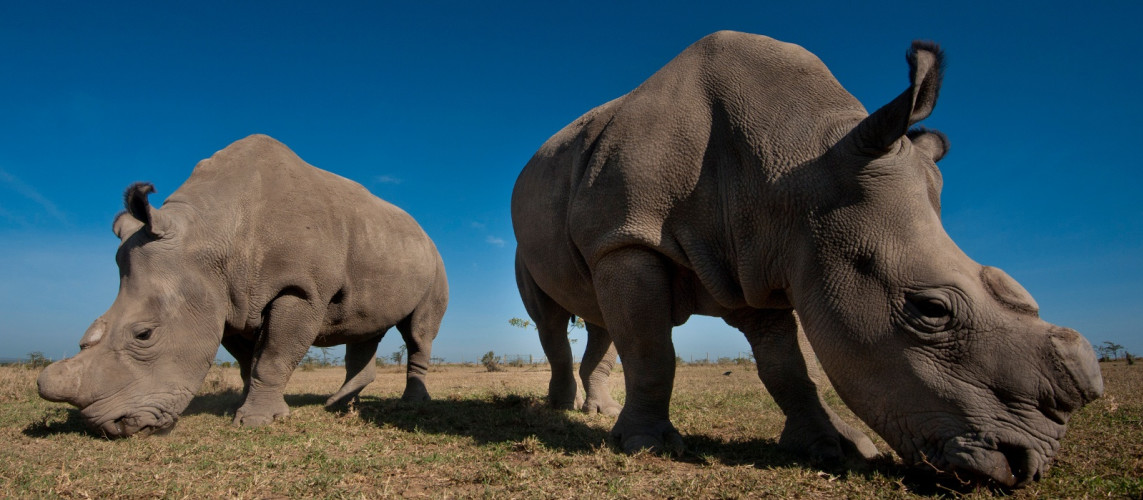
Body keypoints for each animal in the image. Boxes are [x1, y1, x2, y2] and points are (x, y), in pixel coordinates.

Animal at [38, 134, 449, 437]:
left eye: (144, 335)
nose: (110, 427)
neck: (210, 234)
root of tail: (422, 231)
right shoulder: (226, 301)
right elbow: (247, 362)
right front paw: (249, 408)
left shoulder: (300, 289)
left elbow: (273, 357)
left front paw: (256, 422)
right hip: (381, 245)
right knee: (364, 329)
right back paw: (340, 406)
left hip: (434, 261)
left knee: (417, 332)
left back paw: (409, 403)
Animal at [511, 31, 1102, 487]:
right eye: (931, 310)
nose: (1026, 466)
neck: (798, 162)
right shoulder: (629, 239)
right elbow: (653, 352)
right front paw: (646, 446)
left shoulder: (759, 257)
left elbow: (787, 368)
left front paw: (834, 447)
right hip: (548, 239)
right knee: (554, 320)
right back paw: (559, 411)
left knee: (600, 319)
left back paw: (597, 412)